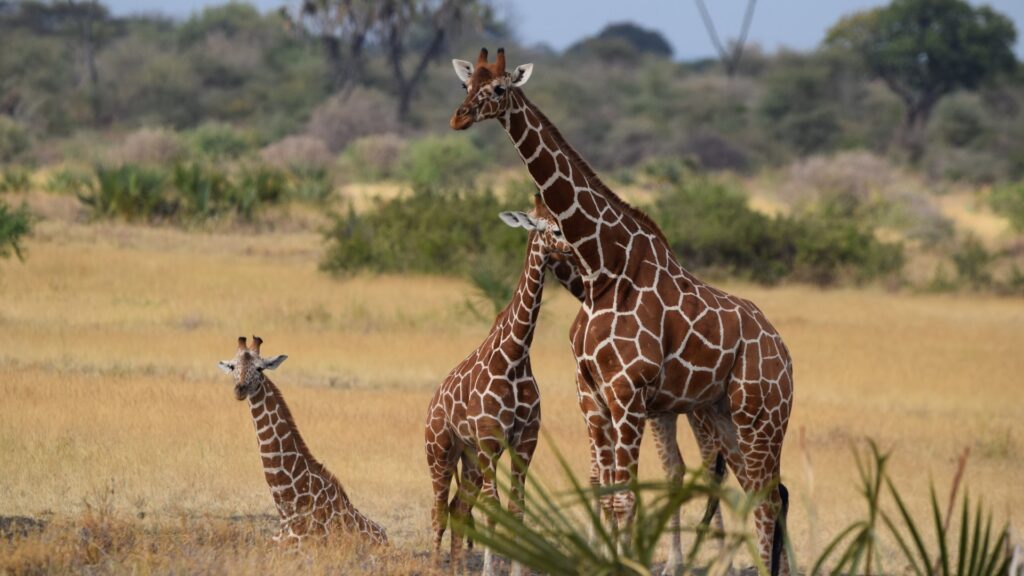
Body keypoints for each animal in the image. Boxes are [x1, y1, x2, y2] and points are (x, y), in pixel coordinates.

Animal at [424, 210, 574, 576]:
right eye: (554, 230)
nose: (573, 250)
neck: (515, 355)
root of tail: (433, 403)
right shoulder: (491, 439)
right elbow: (493, 509)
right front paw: (491, 570)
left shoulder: (525, 439)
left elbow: (515, 509)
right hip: (440, 450)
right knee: (439, 510)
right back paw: (435, 567)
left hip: (469, 456)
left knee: (459, 508)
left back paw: (458, 570)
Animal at [449, 48, 793, 575]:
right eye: (467, 86)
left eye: (500, 89)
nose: (460, 118)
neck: (606, 270)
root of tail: (785, 353)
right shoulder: (592, 393)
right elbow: (607, 490)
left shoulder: (628, 393)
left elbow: (627, 497)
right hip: (725, 414)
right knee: (762, 494)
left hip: (763, 415)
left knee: (769, 498)